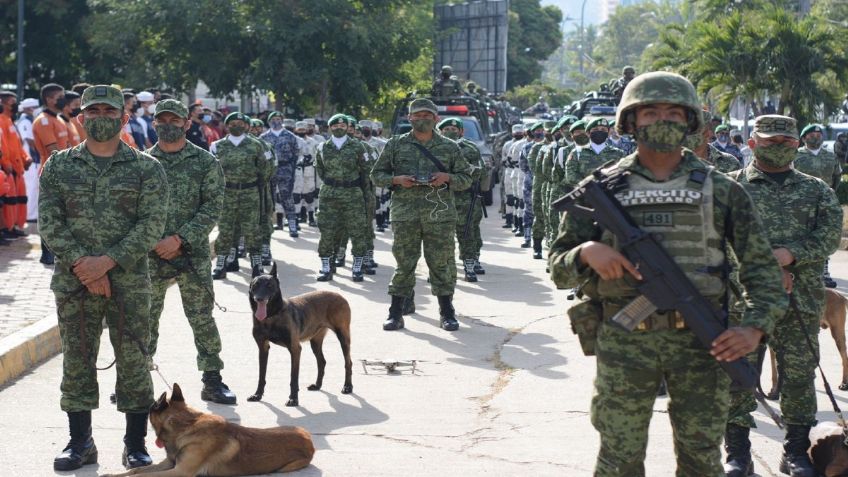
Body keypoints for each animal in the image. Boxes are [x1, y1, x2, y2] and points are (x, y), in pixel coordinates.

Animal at [99, 384, 312, 476]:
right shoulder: (170, 464)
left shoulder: (180, 472)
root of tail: (309, 439)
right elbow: (137, 470)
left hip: (289, 466)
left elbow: (142, 476)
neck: (187, 425)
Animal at [247, 264, 352, 406]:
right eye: (255, 285)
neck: (271, 316)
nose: (259, 298)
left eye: (269, 285)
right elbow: (261, 375)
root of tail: (339, 295)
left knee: (348, 362)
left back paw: (347, 386)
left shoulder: (295, 349)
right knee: (322, 361)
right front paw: (258, 394)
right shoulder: (263, 348)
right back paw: (317, 385)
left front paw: (293, 398)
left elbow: (293, 377)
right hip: (315, 342)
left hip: (343, 337)